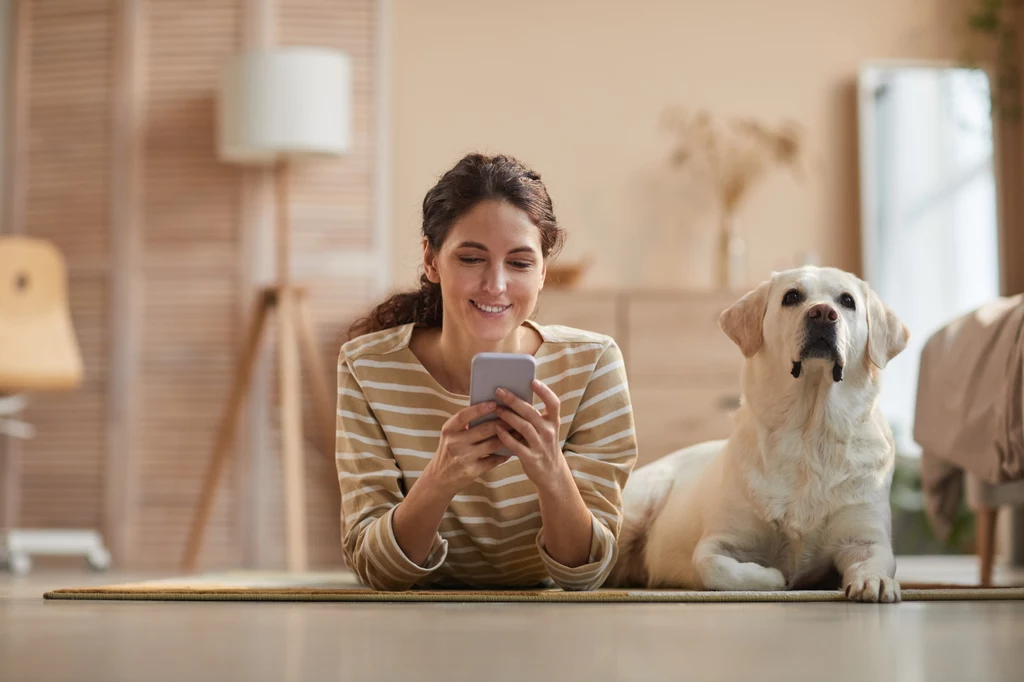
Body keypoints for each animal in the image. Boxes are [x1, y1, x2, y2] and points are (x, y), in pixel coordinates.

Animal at [602, 266, 909, 602]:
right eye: (792, 296)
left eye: (847, 301)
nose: (823, 314)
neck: (809, 433)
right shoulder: (718, 541)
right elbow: (715, 568)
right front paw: (776, 578)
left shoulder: (865, 538)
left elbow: (876, 560)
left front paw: (874, 581)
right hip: (636, 508)